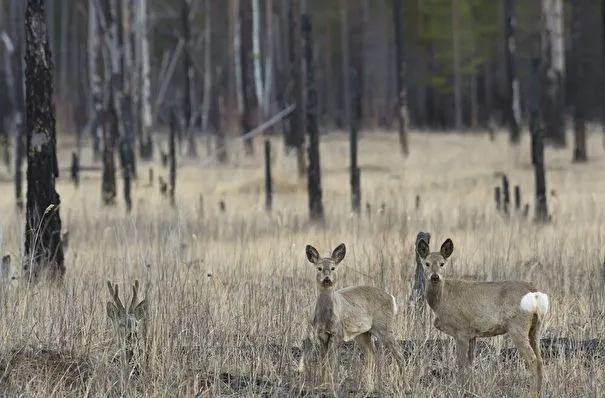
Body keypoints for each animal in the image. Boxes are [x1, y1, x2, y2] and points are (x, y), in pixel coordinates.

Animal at [298, 243, 406, 392]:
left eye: (333, 268)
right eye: (319, 268)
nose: (327, 279)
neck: (326, 318)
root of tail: (391, 298)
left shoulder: (337, 333)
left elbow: (331, 361)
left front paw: (330, 385)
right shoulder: (320, 335)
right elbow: (323, 362)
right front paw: (322, 384)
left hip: (384, 326)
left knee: (399, 355)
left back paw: (405, 386)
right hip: (362, 333)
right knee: (372, 356)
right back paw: (369, 386)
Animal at [416, 238, 548, 396]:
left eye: (442, 263)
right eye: (427, 263)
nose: (435, 277)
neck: (442, 299)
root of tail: (535, 294)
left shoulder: (461, 330)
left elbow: (461, 364)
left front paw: (462, 391)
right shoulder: (472, 334)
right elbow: (470, 364)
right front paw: (470, 390)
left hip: (518, 326)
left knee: (533, 360)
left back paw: (531, 393)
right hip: (535, 328)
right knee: (540, 360)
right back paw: (540, 392)